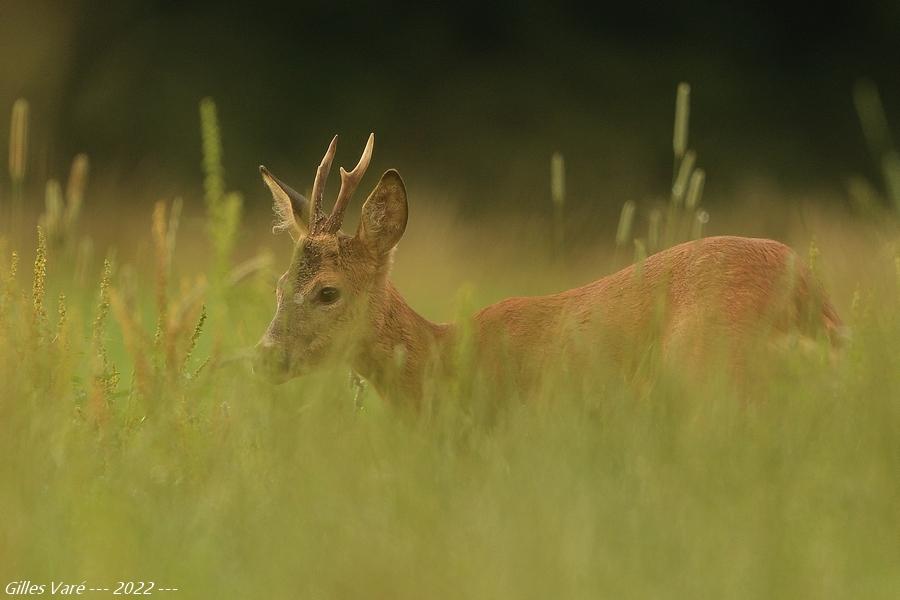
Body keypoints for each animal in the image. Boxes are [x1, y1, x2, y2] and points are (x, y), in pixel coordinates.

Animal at [255, 135, 844, 406]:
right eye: (280, 286)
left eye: (327, 291)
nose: (263, 358)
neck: (444, 359)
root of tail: (808, 304)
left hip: (713, 375)